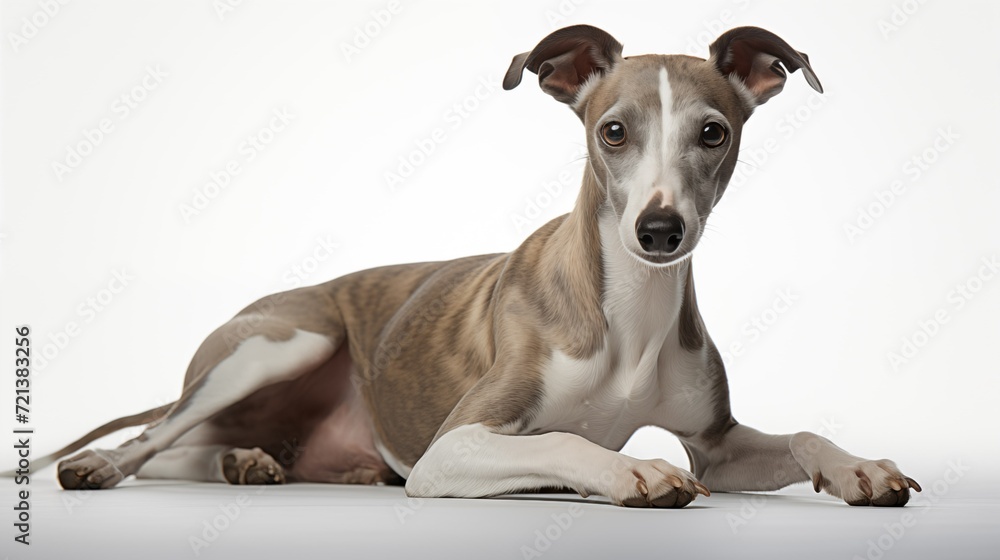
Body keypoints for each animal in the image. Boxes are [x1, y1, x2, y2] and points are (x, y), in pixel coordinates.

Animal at [41, 25, 920, 508]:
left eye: (713, 133)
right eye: (612, 131)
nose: (660, 229)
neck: (629, 309)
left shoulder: (720, 445)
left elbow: (799, 431)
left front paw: (858, 469)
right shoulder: (451, 447)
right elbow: (566, 442)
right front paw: (630, 471)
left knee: (187, 450)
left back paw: (245, 462)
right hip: (283, 343)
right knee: (151, 438)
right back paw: (98, 465)